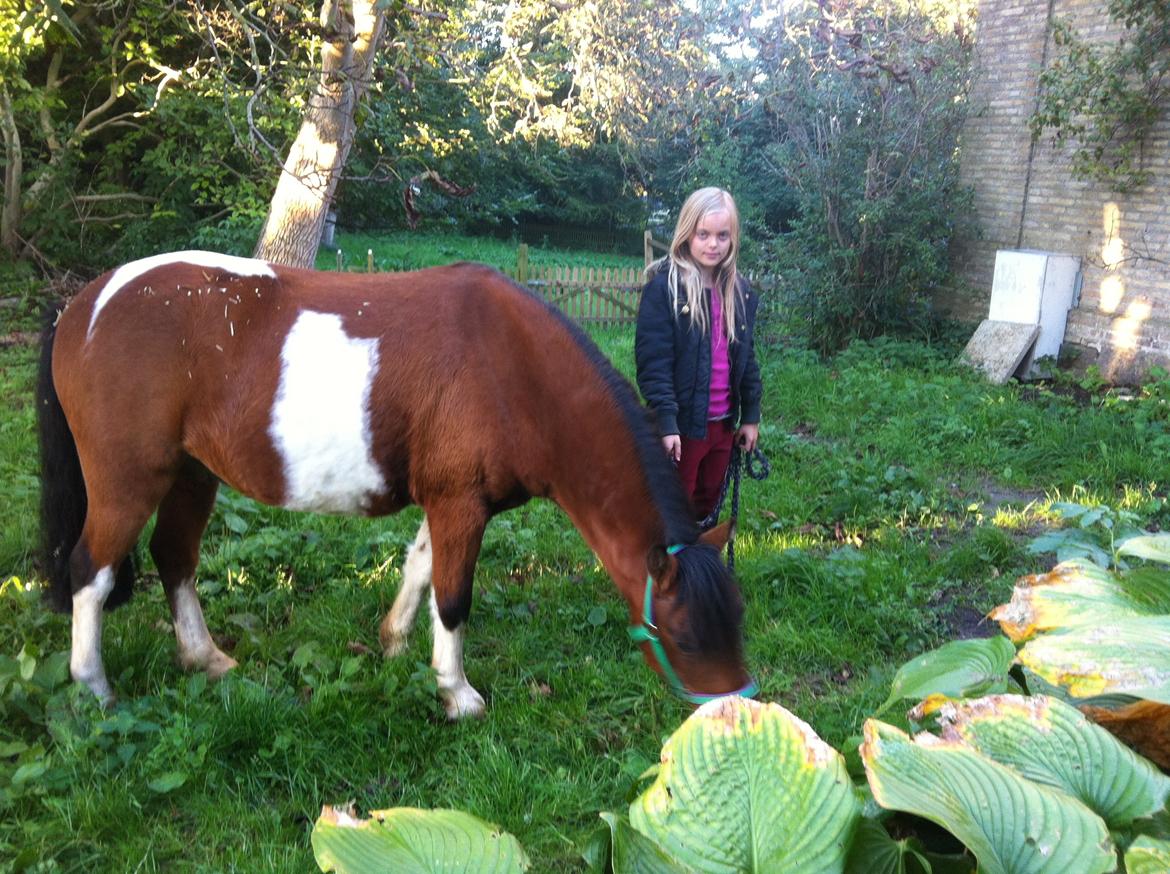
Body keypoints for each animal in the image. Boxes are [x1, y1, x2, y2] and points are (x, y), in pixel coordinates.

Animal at [38, 251, 758, 716]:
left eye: (738, 622)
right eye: (685, 636)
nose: (733, 714)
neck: (515, 370)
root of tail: (85, 303)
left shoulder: (447, 499)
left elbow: (419, 568)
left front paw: (392, 644)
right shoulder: (461, 504)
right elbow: (453, 597)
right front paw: (456, 693)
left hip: (192, 474)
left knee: (175, 558)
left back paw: (205, 659)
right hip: (130, 479)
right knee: (90, 572)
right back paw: (94, 687)